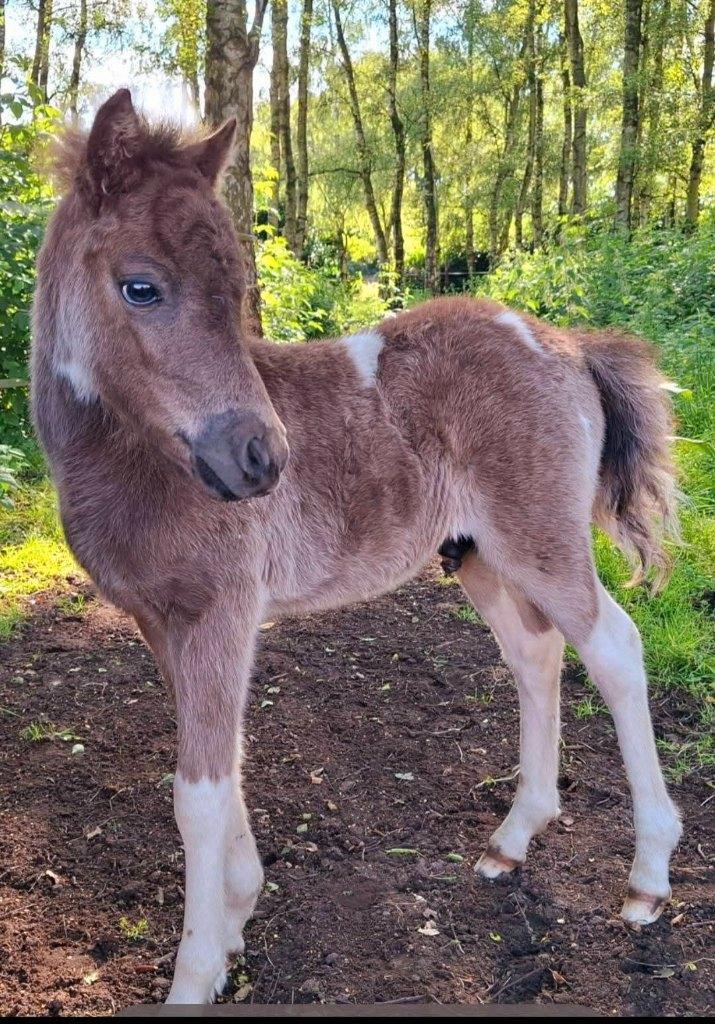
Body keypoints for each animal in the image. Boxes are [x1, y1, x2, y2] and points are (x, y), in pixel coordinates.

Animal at [31, 89, 681, 1004]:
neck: (136, 464)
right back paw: (511, 839)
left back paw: (647, 880)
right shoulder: (162, 622)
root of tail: (566, 343)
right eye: (141, 287)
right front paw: (236, 917)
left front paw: (197, 971)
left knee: (614, 649)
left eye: (237, 290)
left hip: (540, 539)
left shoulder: (222, 612)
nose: (261, 458)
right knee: (536, 655)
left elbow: (198, 793)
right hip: (479, 554)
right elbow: (223, 764)